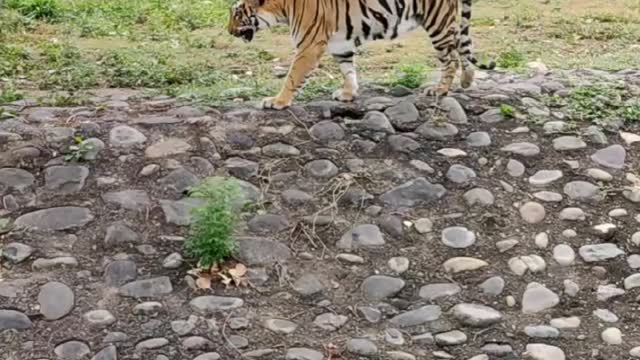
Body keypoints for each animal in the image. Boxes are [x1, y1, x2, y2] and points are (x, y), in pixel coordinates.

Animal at [228, 0, 492, 109]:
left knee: (450, 57)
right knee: (462, 46)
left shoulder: (309, 45)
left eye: (237, 14)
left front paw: (277, 101)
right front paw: (348, 94)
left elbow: (292, 77)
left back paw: (441, 89)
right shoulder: (340, 44)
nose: (228, 31)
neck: (281, 9)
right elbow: (348, 69)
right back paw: (467, 80)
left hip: (437, 22)